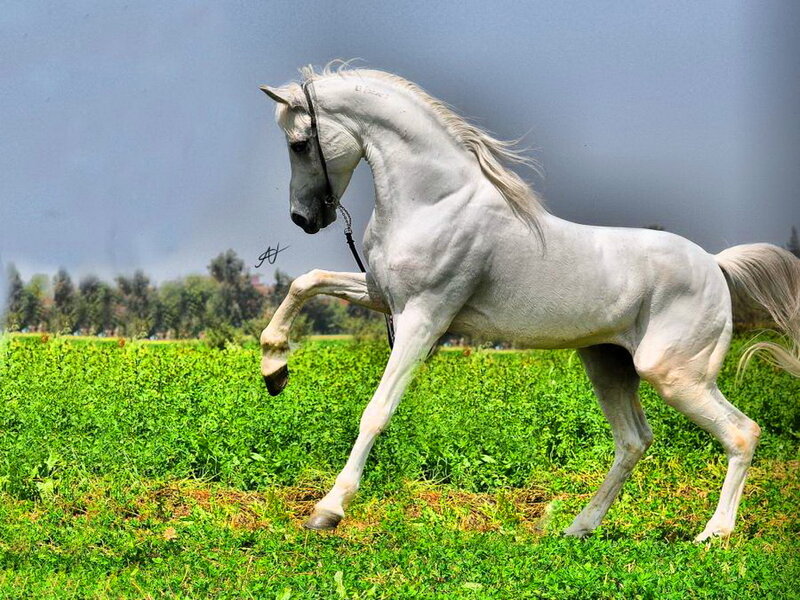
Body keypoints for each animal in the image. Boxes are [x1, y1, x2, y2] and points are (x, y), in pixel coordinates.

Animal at [257, 62, 800, 541]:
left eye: (299, 143)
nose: (304, 218)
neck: (435, 202)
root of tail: (714, 264)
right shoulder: (380, 294)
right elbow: (306, 282)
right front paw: (274, 370)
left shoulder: (423, 319)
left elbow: (376, 412)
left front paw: (328, 510)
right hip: (608, 365)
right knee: (633, 441)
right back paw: (578, 527)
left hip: (674, 374)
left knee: (742, 433)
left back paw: (713, 533)